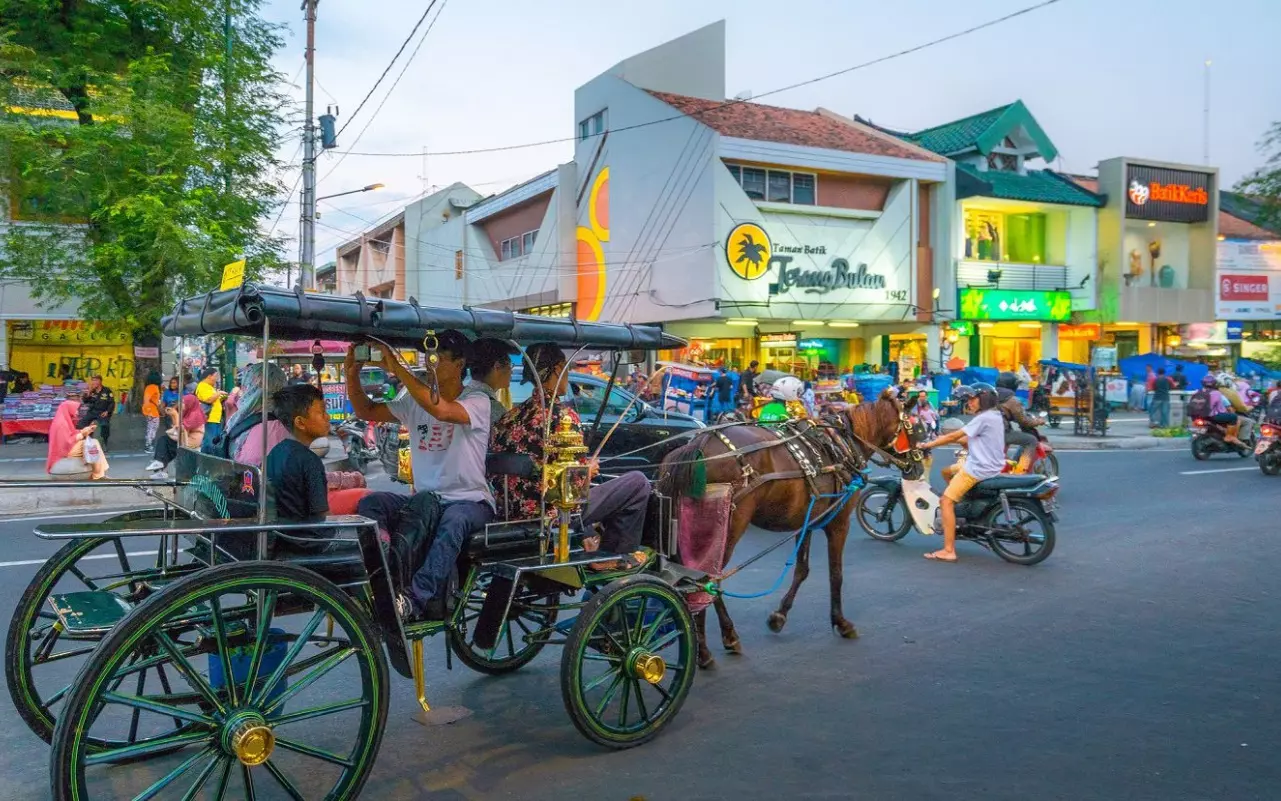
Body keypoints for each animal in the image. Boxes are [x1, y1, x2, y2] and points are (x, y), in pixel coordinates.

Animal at [660, 389, 912, 666]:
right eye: (914, 427)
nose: (919, 464)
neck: (841, 445)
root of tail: (700, 444)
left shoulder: (807, 521)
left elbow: (802, 570)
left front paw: (779, 617)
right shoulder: (839, 522)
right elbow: (836, 574)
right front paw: (842, 622)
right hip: (728, 525)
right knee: (707, 579)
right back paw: (712, 647)